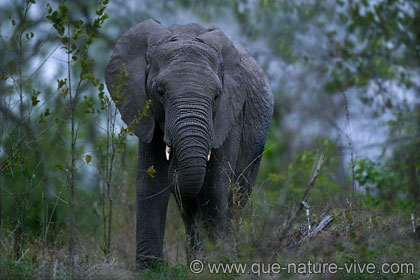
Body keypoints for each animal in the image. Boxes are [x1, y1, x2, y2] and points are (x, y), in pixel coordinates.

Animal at [106, 18, 272, 268]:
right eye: (159, 92)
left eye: (217, 95)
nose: (174, 161)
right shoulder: (146, 111)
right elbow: (151, 181)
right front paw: (148, 269)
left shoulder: (229, 114)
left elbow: (214, 184)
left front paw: (219, 264)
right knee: (189, 210)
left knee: (236, 198)